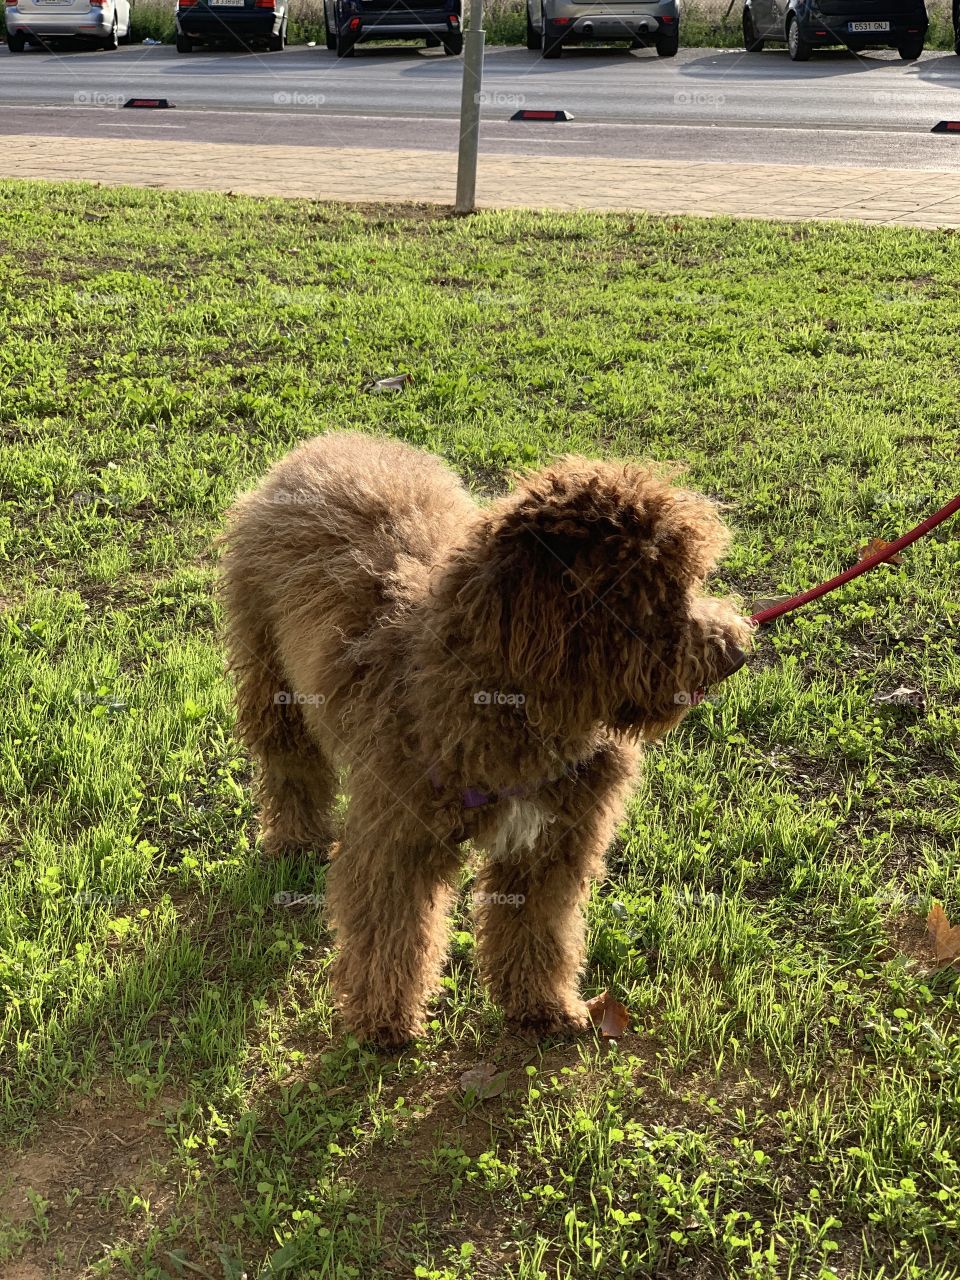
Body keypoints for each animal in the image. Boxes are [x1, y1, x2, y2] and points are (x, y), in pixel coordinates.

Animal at [221, 435, 757, 1044]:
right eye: (651, 596)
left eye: (687, 583)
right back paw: (295, 839)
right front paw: (384, 1020)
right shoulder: (398, 837)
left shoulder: (550, 844)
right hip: (272, 676)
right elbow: (391, 929)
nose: (736, 653)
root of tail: (330, 442)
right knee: (291, 766)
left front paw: (540, 1004)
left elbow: (538, 928)